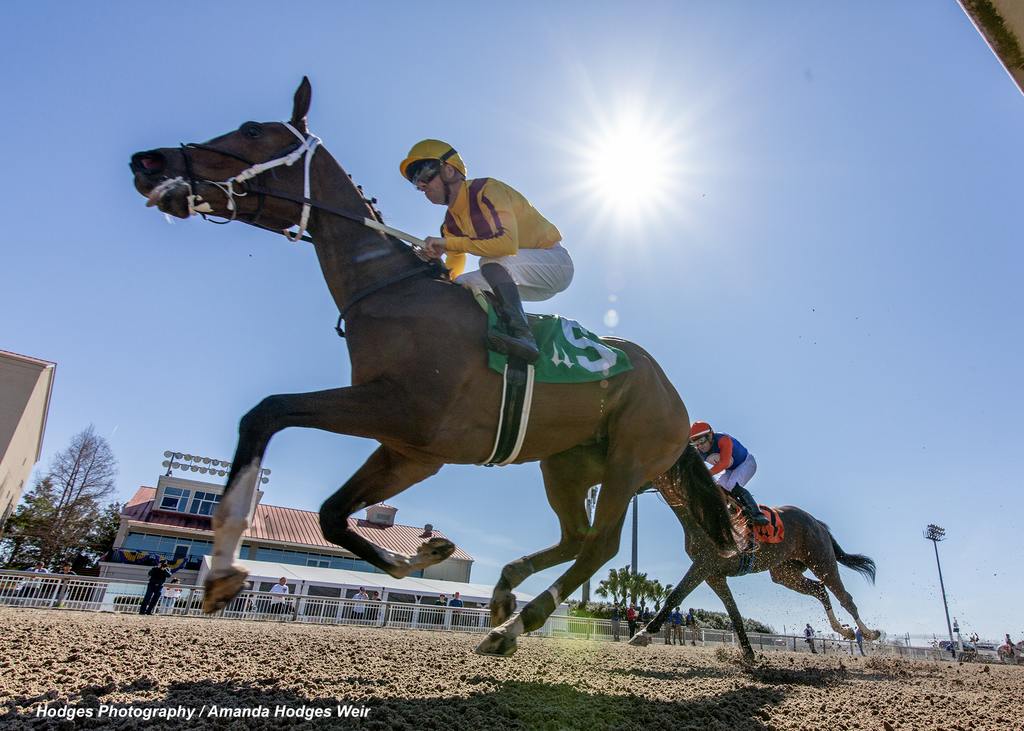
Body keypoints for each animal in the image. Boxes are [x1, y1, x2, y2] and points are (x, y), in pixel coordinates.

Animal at [130, 78, 737, 655]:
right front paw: (422, 555)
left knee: (601, 543)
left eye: (253, 130)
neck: (394, 295)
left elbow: (266, 413)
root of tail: (675, 397)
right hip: (565, 463)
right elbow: (330, 513)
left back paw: (517, 625)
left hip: (629, 462)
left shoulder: (400, 414)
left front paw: (223, 569)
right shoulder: (410, 449)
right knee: (576, 537)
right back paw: (504, 595)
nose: (148, 162)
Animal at [626, 444, 884, 659]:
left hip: (822, 561)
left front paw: (643, 633)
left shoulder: (704, 564)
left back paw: (868, 633)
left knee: (845, 597)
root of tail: (817, 523)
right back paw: (845, 630)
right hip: (785, 573)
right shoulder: (714, 574)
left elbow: (675, 595)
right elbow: (735, 614)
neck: (700, 510)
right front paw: (748, 653)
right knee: (819, 590)